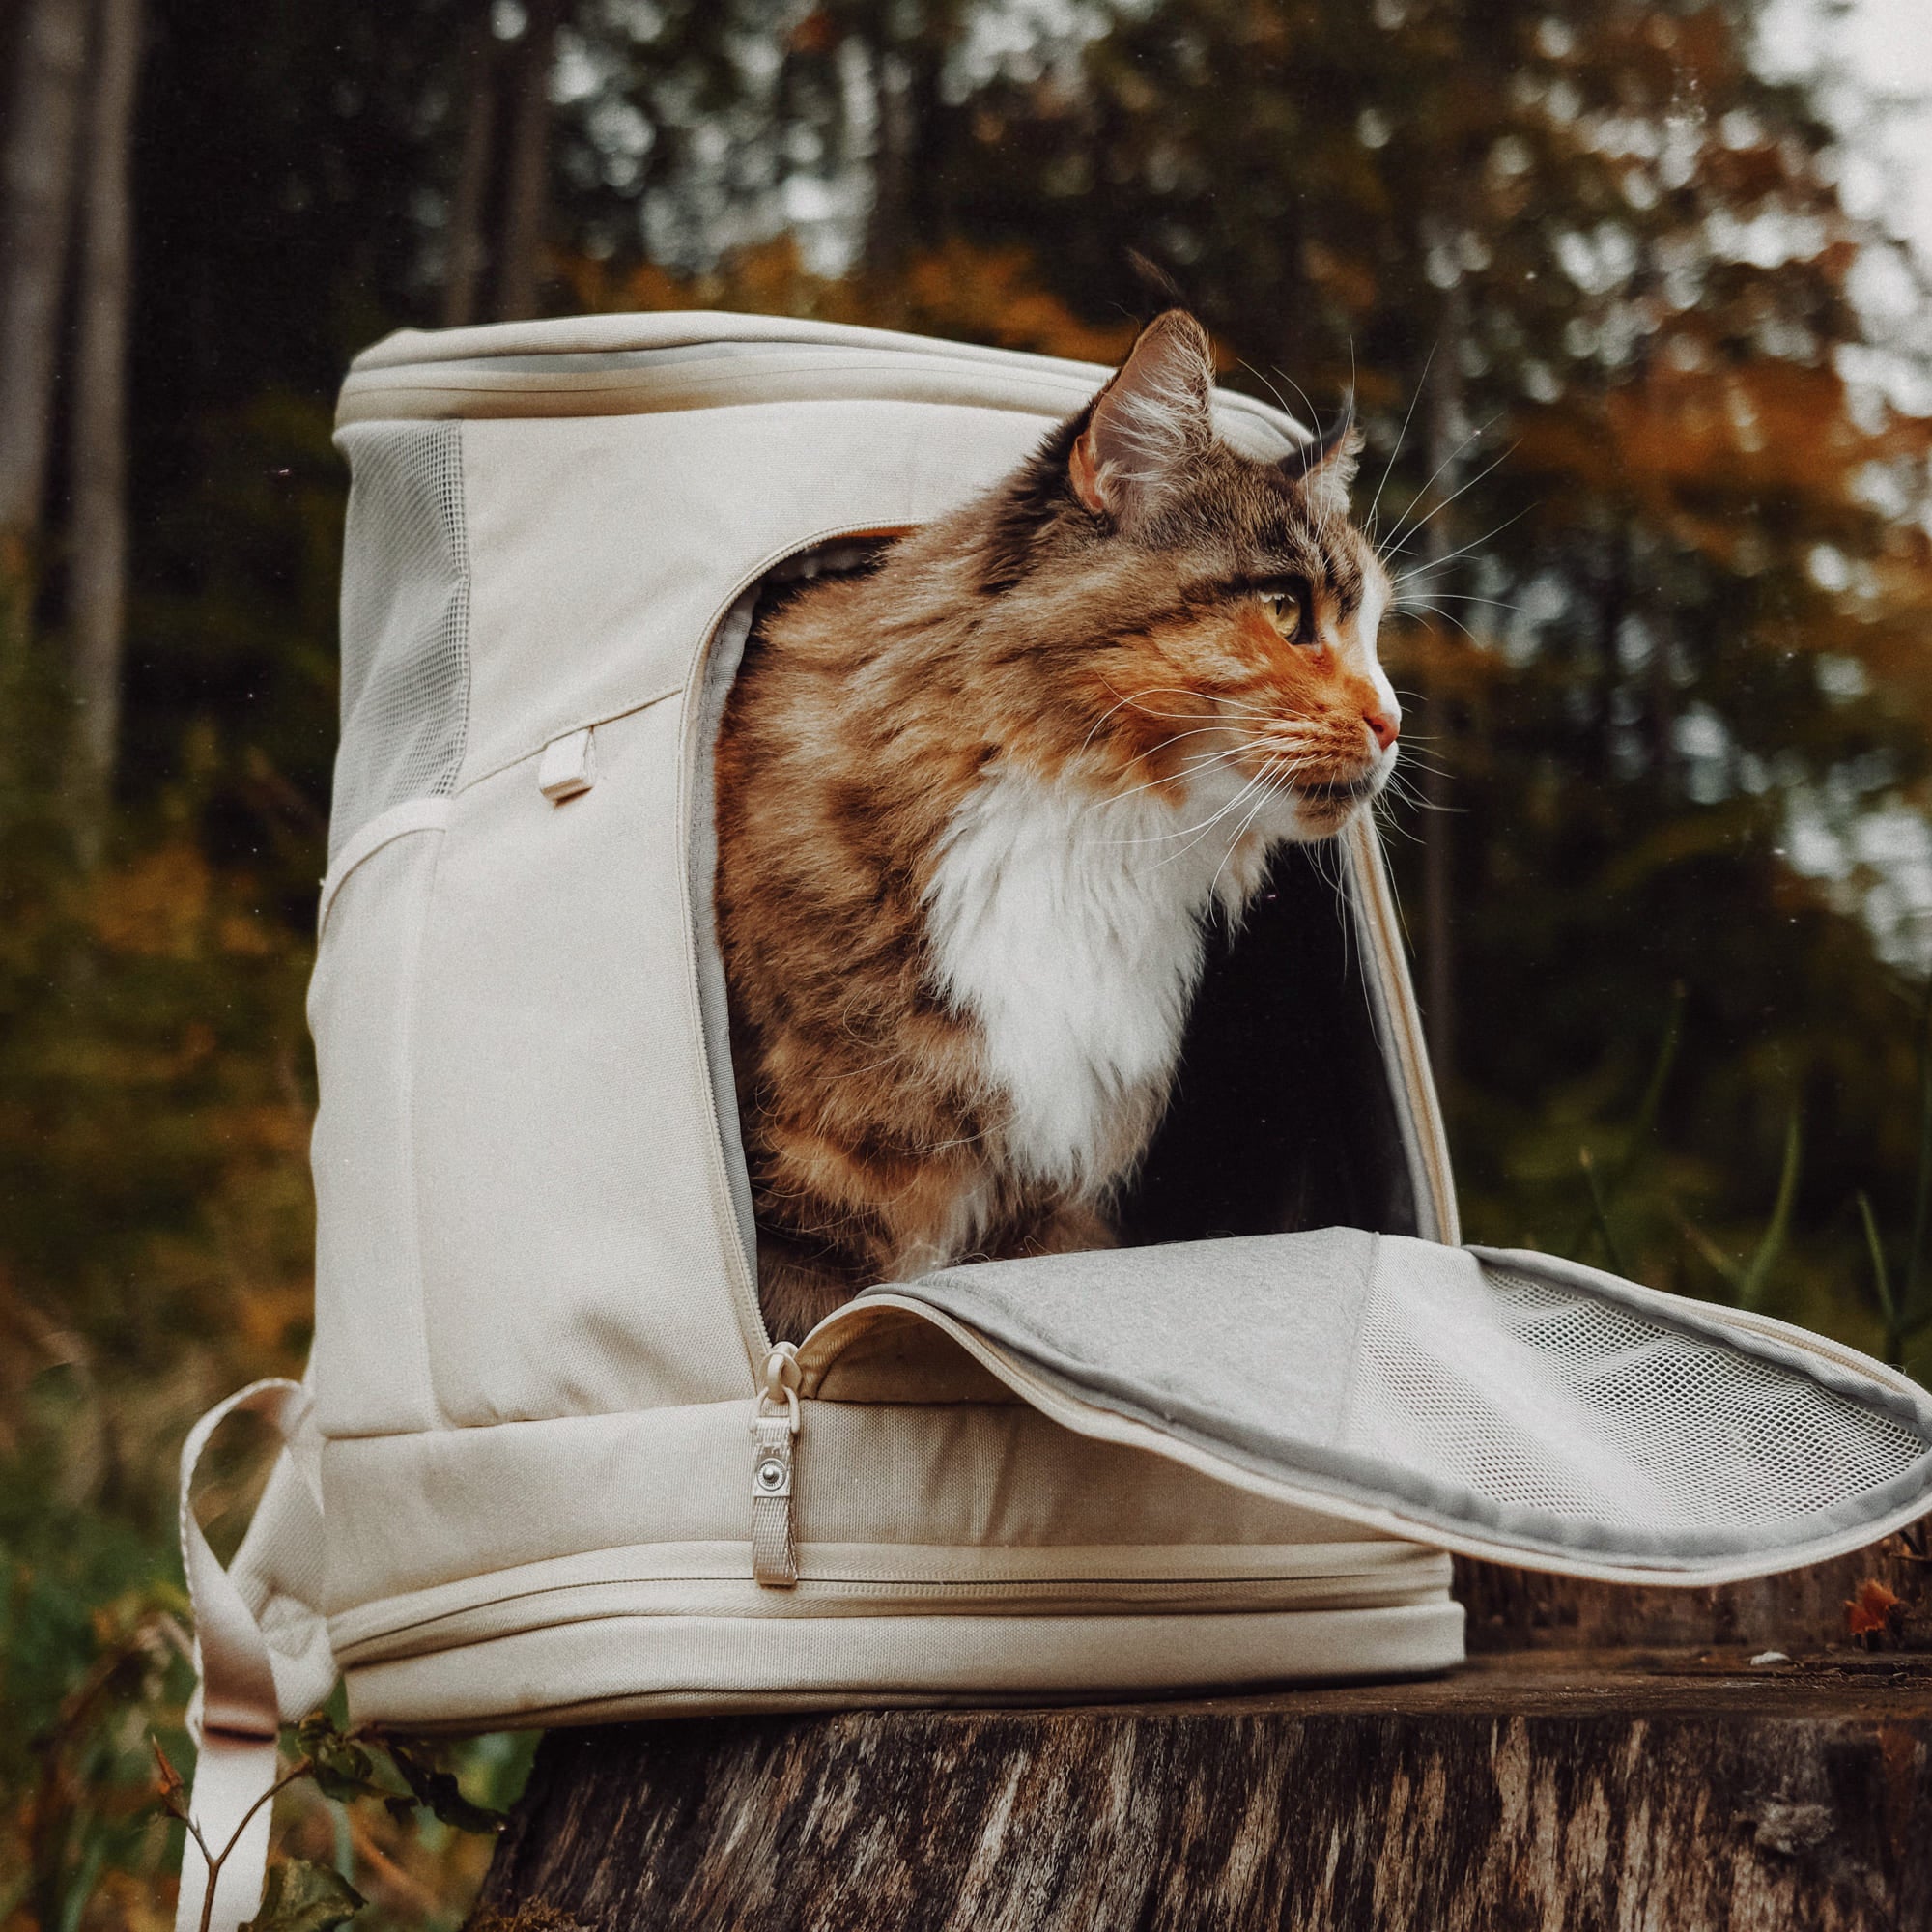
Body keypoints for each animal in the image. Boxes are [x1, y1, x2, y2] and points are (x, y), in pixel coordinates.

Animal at [719, 313, 1399, 1345]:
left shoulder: (1045, 1200)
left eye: (1375, 631)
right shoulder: (812, 1194)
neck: (1089, 839)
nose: (1395, 723)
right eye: (1286, 609)